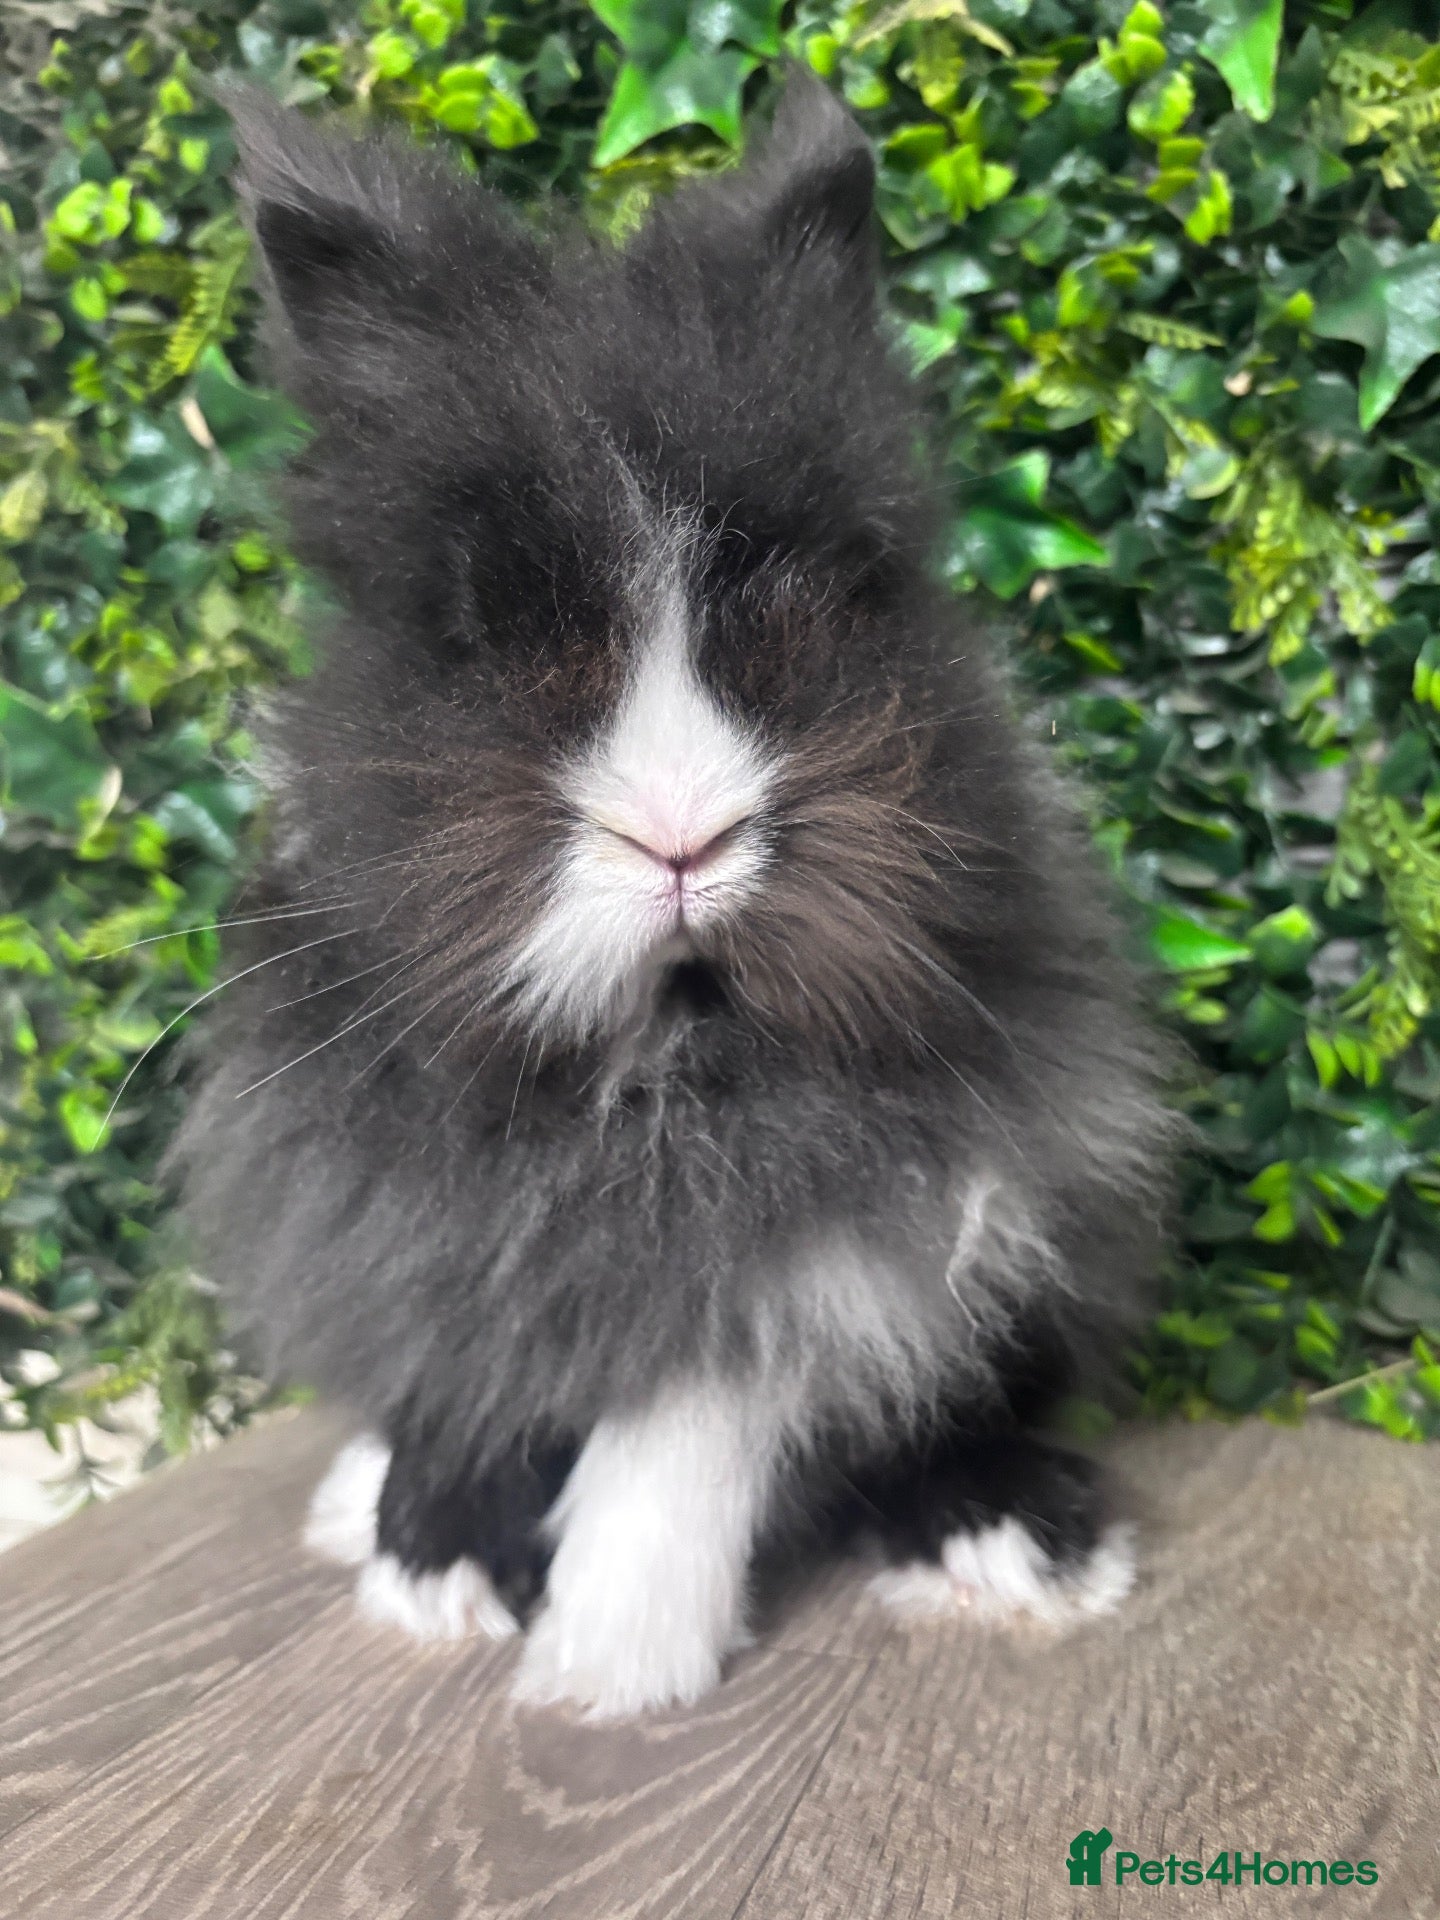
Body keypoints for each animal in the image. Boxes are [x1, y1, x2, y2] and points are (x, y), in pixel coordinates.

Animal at [175, 70, 1172, 1721]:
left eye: (837, 591)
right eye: (469, 623)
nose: (682, 835)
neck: (670, 1045)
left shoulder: (853, 1222)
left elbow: (702, 1408)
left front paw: (613, 1657)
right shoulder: (406, 1202)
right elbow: (472, 1352)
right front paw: (438, 1566)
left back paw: (1002, 1542)